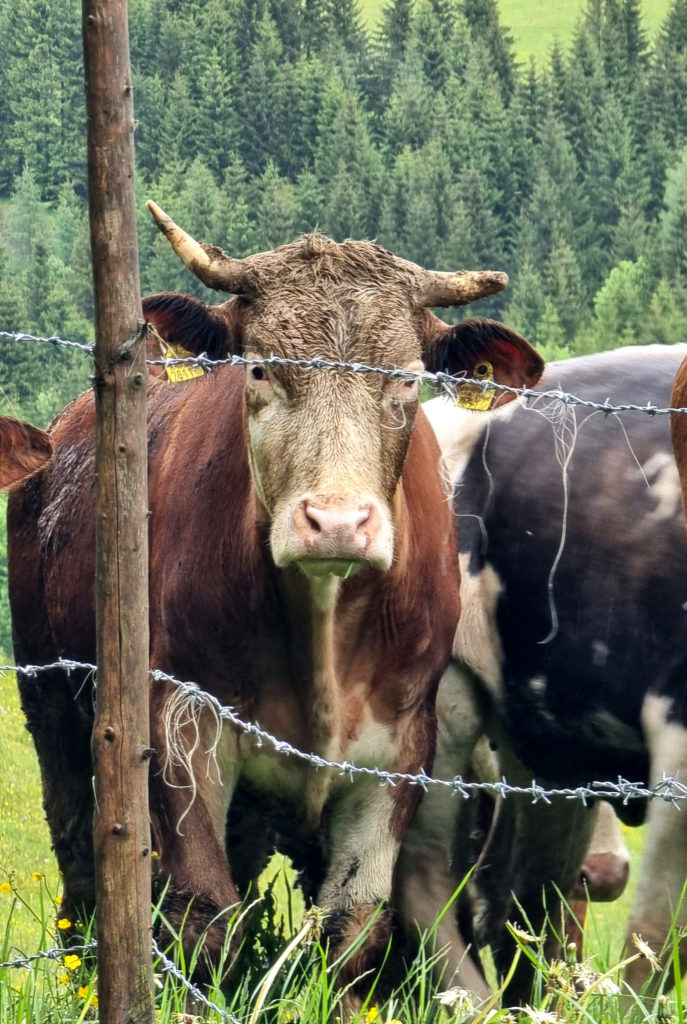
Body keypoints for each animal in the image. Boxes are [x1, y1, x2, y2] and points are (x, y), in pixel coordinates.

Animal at [5, 207, 544, 1007]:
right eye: (260, 368)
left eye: (407, 380)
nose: (338, 522)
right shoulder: (181, 722)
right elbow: (203, 919)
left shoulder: (399, 748)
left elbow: (351, 930)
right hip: (53, 714)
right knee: (80, 867)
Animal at [397, 344, 687, 999]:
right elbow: (656, 943)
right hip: (442, 700)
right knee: (424, 875)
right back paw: (475, 1004)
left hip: (546, 746)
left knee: (533, 903)